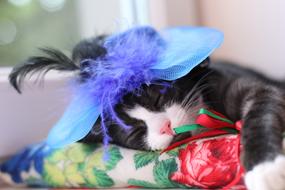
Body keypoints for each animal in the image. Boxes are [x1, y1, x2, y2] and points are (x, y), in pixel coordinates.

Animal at [7, 35, 284, 189]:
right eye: (134, 131)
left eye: (156, 96)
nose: (165, 126)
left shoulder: (247, 87)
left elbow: (262, 110)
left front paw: (266, 168)